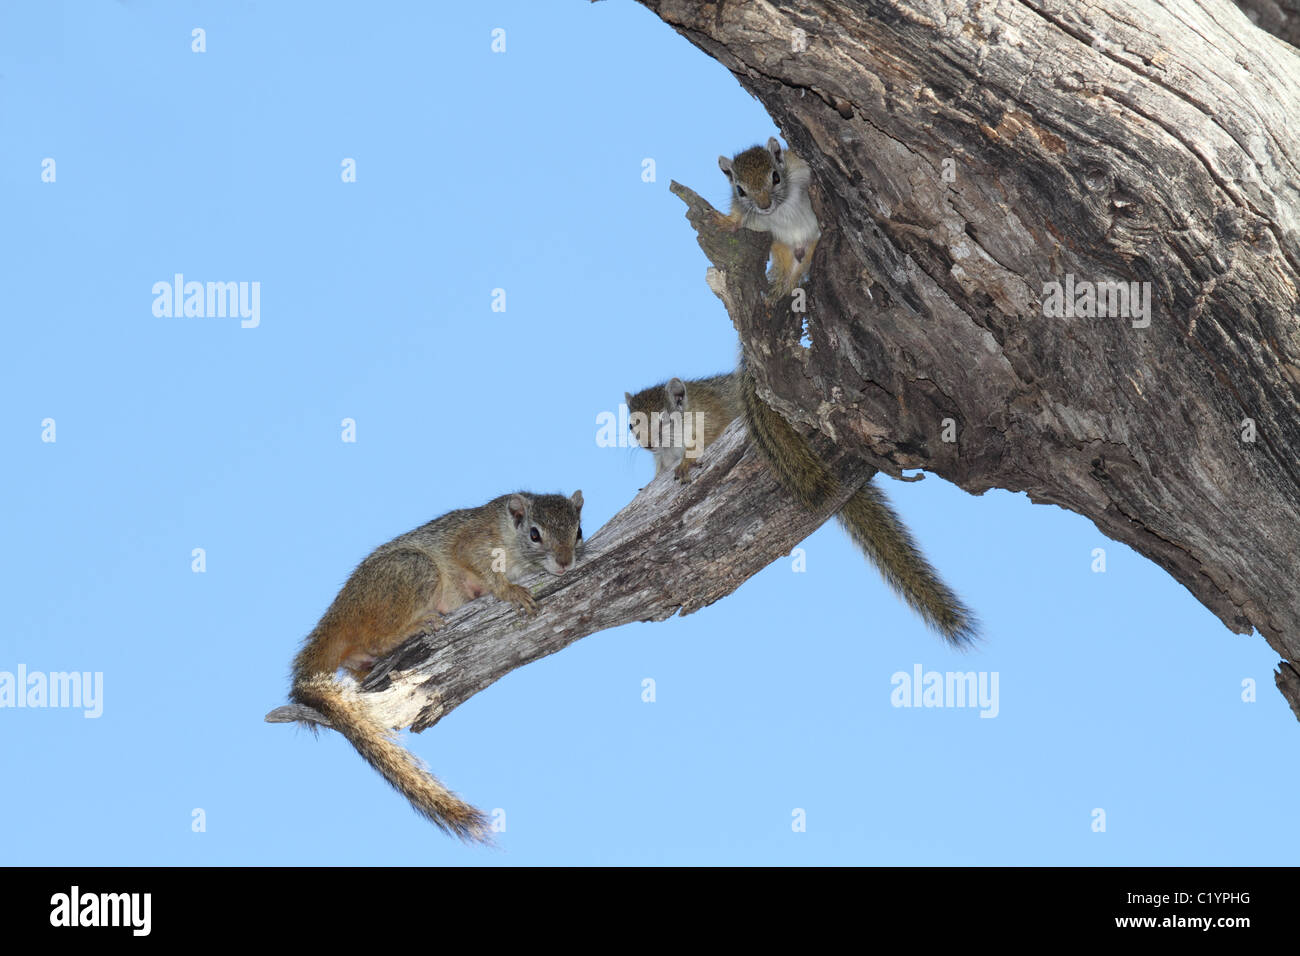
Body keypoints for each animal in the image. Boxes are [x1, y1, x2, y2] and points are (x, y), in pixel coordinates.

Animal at [292, 489, 587, 842]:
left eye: (578, 531)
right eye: (534, 534)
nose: (565, 562)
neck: (508, 534)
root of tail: (338, 614)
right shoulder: (474, 540)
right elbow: (476, 563)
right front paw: (510, 591)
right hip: (411, 570)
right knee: (376, 639)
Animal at [621, 369, 977, 647]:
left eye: (665, 420)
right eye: (630, 425)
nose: (647, 444)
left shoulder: (711, 419)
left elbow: (703, 444)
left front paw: (688, 464)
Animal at [717, 135, 816, 299]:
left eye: (776, 177)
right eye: (740, 190)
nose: (765, 206)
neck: (779, 208)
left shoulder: (798, 166)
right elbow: (738, 217)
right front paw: (728, 222)